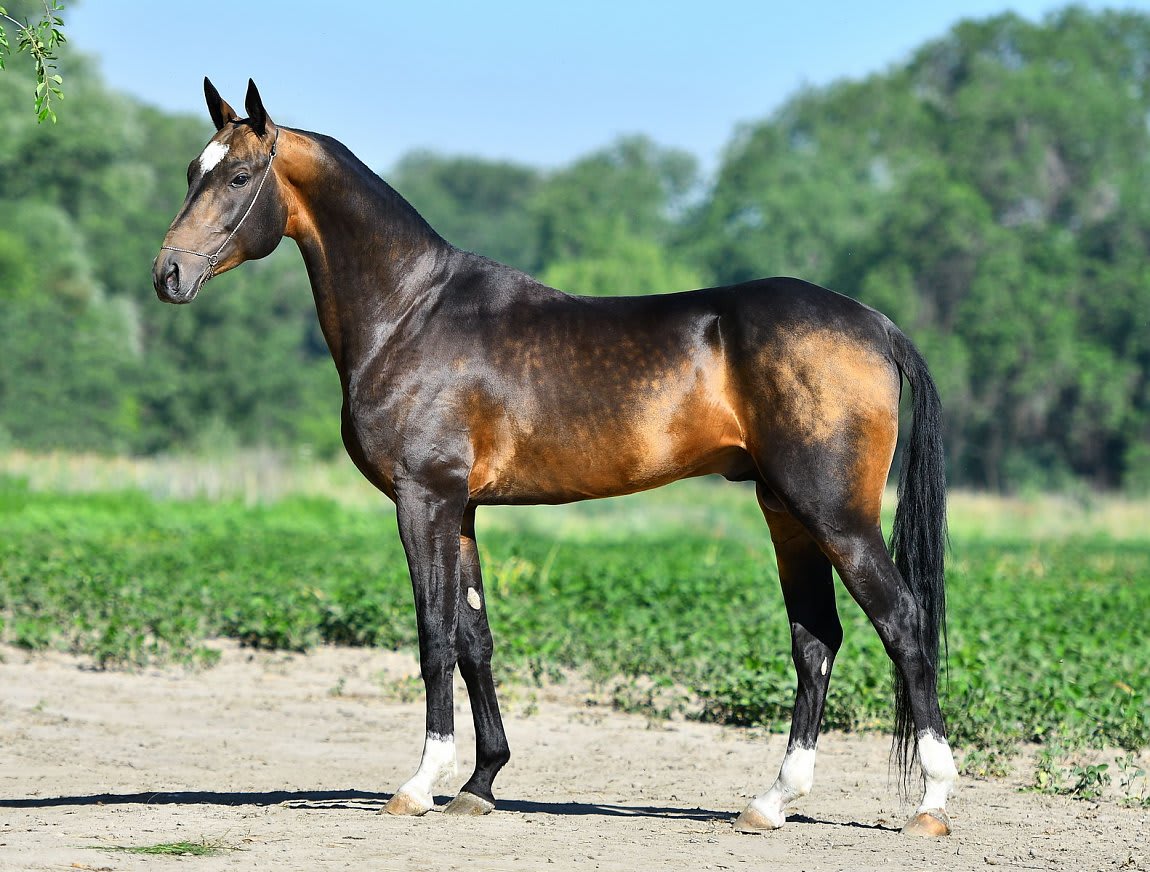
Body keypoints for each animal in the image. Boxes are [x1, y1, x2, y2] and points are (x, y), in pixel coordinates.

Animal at [152, 79, 957, 838]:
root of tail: (875, 324)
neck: (411, 312)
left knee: (903, 624)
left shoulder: (424, 499)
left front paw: (420, 784)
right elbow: (474, 637)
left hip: (835, 515)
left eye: (238, 177)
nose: (168, 275)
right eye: (194, 169)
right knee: (816, 641)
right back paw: (772, 801)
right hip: (787, 512)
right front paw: (480, 784)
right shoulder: (462, 510)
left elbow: (433, 633)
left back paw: (931, 802)